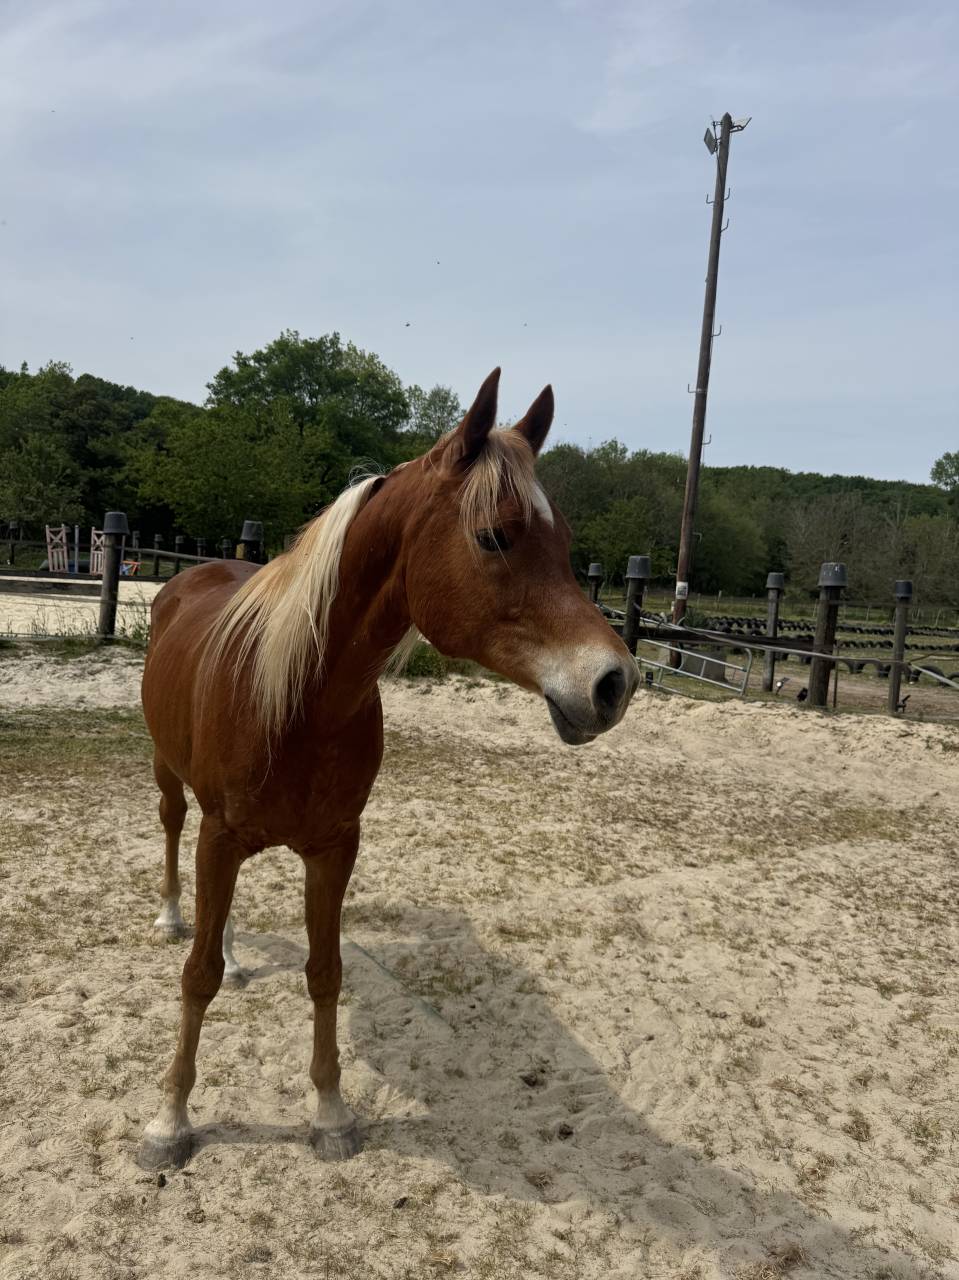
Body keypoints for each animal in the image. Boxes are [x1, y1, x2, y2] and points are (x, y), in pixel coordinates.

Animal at [137, 368, 638, 1170]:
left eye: (563, 543)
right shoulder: (221, 834)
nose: (614, 683)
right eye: (493, 535)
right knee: (172, 835)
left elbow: (324, 972)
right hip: (174, 785)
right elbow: (197, 977)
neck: (299, 699)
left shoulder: (334, 846)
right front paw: (169, 1120)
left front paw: (331, 1113)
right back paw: (170, 918)